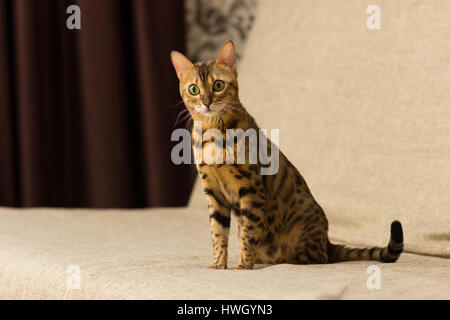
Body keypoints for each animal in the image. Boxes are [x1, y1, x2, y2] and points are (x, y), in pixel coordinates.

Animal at [170, 40, 404, 270]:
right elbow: (218, 233)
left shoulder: (251, 188)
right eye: (193, 89)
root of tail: (327, 241)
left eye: (218, 85)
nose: (207, 102)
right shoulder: (213, 190)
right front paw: (218, 265)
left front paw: (243, 266)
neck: (213, 132)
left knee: (317, 258)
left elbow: (249, 233)